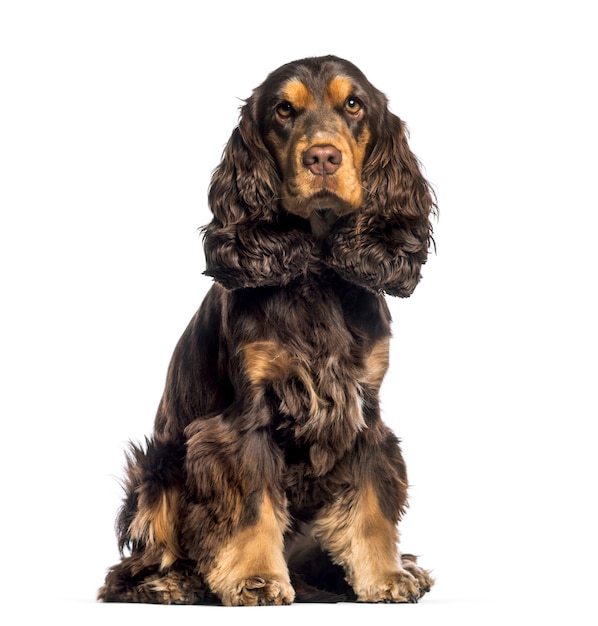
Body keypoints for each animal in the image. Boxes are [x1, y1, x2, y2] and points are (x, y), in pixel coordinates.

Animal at [98, 54, 436, 604]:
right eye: (283, 110)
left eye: (353, 104)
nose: (322, 157)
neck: (317, 272)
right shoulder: (238, 422)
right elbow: (252, 505)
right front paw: (256, 579)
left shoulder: (364, 409)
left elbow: (370, 504)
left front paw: (385, 577)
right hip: (158, 466)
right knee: (131, 565)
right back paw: (171, 582)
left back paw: (403, 569)